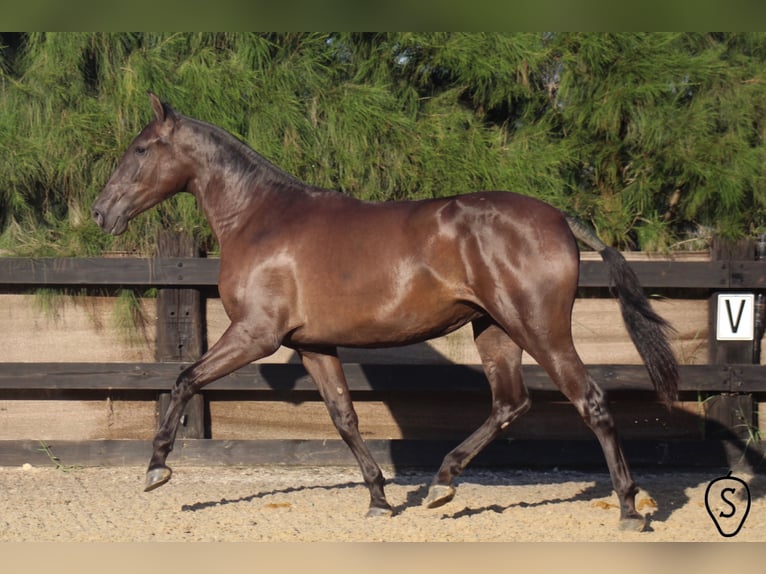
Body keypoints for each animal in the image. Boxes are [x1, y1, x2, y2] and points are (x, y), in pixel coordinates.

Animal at [94, 92, 680, 532]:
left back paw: (629, 508)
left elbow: (185, 379)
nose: (102, 212)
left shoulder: (255, 334)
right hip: (494, 329)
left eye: (140, 148)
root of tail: (560, 218)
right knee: (509, 404)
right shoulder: (312, 344)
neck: (260, 218)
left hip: (539, 328)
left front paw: (156, 468)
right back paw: (441, 484)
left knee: (591, 401)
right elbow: (344, 417)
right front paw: (379, 498)